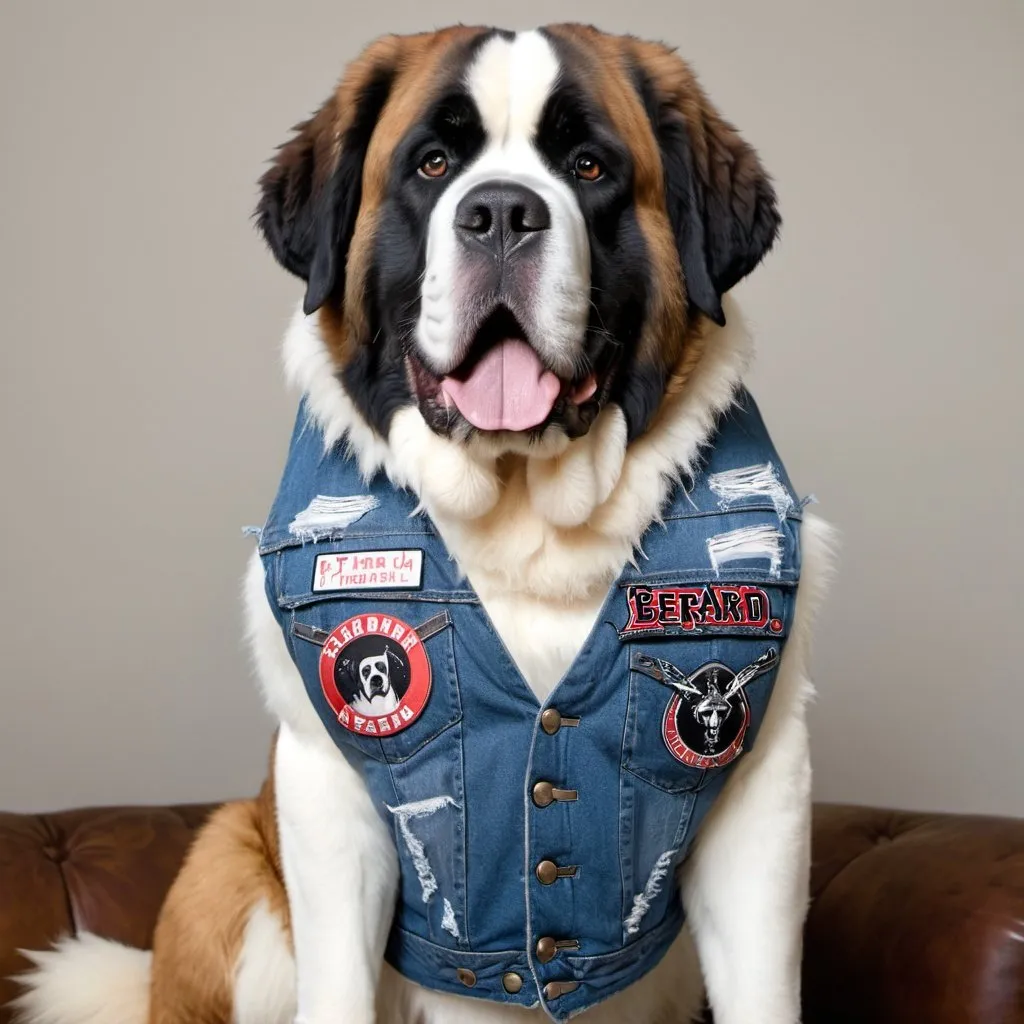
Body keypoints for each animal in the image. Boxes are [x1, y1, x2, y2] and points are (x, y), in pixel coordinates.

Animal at [14, 22, 831, 1024]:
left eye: (590, 166)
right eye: (434, 164)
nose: (504, 213)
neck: (523, 508)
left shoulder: (762, 787)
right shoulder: (328, 796)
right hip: (231, 870)